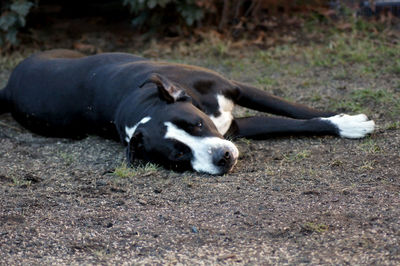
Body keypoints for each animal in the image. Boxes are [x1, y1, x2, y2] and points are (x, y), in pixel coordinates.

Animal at [0, 49, 376, 175]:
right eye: (179, 156)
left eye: (197, 124)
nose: (223, 157)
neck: (142, 104)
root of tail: (9, 83)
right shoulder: (237, 130)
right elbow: (290, 124)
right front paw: (347, 125)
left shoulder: (237, 90)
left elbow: (292, 109)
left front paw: (347, 121)